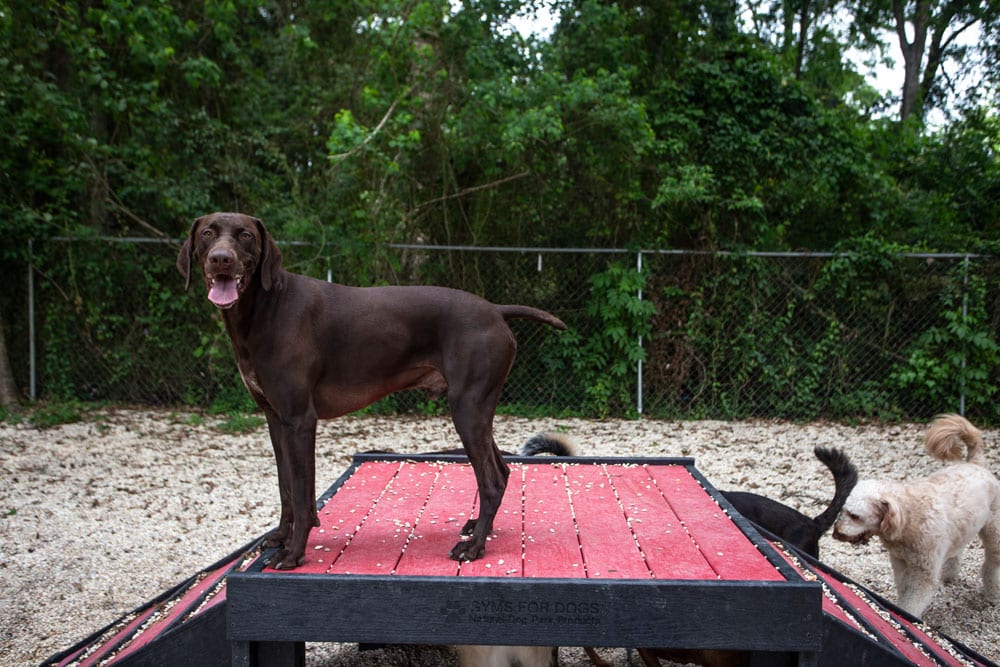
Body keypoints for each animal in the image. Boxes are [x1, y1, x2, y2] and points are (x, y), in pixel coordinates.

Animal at [177, 213, 568, 568]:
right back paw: (477, 529)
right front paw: (282, 536)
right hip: (477, 413)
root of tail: (495, 310)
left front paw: (294, 552)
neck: (264, 308)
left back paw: (473, 548)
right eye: (208, 233)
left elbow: (302, 493)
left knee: (491, 480)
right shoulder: (276, 420)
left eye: (244, 235)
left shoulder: (300, 420)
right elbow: (285, 486)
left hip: (468, 410)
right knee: (502, 471)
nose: (221, 259)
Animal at [832, 414, 1000, 620]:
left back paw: (992, 593)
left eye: (855, 516)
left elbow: (911, 603)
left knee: (992, 564)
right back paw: (949, 575)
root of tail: (976, 464)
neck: (910, 518)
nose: (836, 533)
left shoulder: (923, 575)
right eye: (843, 510)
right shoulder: (901, 563)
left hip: (993, 530)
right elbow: (904, 592)